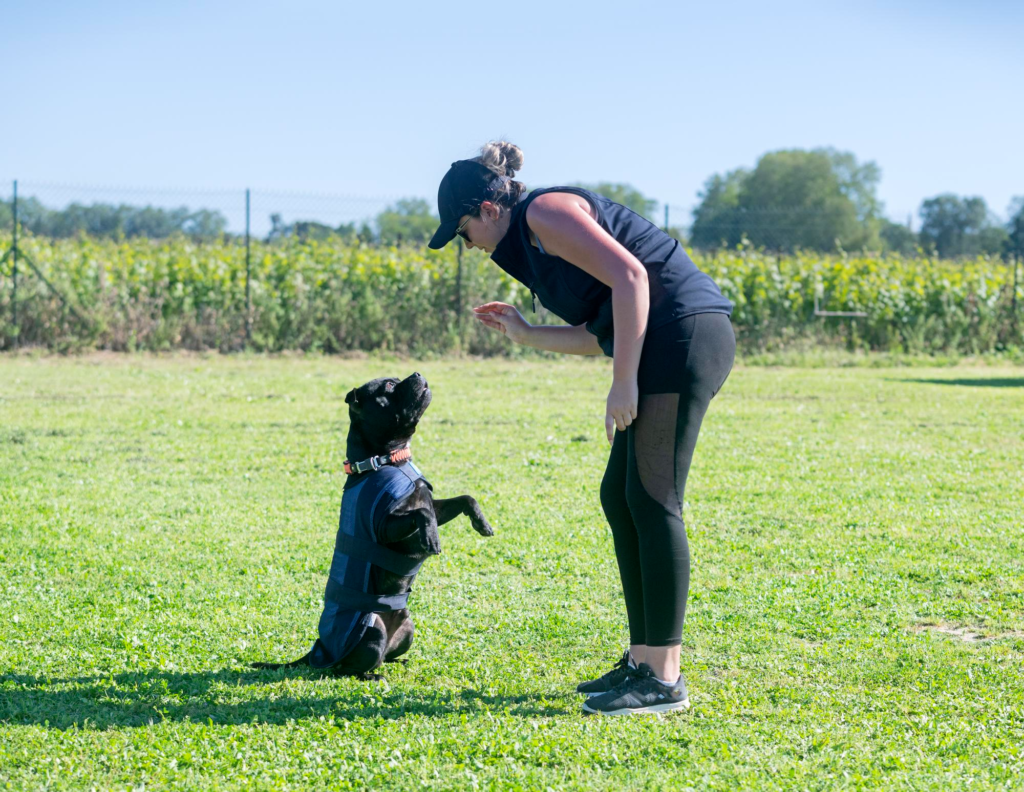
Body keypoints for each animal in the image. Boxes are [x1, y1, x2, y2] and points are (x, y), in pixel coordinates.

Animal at [251, 370, 491, 672]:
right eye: (388, 386)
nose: (417, 373)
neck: (387, 461)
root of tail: (321, 648)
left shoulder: (436, 507)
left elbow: (465, 498)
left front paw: (481, 523)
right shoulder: (388, 527)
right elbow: (421, 515)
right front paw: (431, 538)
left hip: (408, 628)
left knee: (384, 656)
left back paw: (398, 661)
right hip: (373, 630)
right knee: (349, 668)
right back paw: (372, 675)